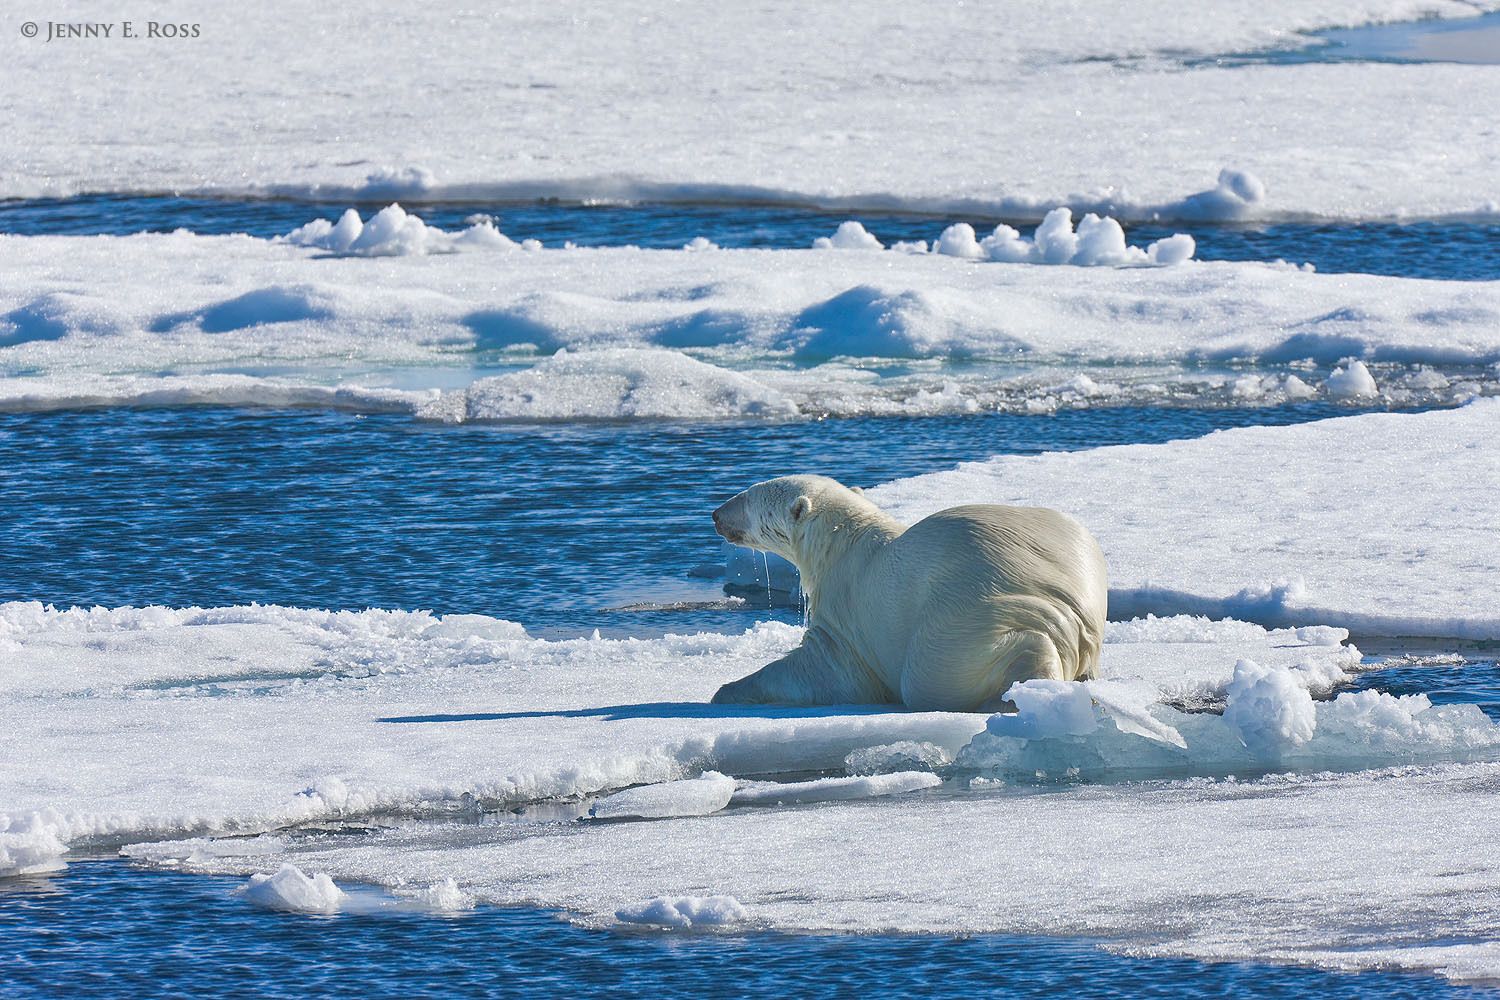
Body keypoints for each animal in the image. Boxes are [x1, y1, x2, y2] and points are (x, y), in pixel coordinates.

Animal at [710, 474, 1108, 712]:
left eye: (748, 497)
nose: (715, 513)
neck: (839, 543)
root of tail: (1068, 607)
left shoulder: (845, 614)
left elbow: (827, 672)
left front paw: (724, 691)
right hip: (1074, 548)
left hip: (963, 618)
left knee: (929, 676)